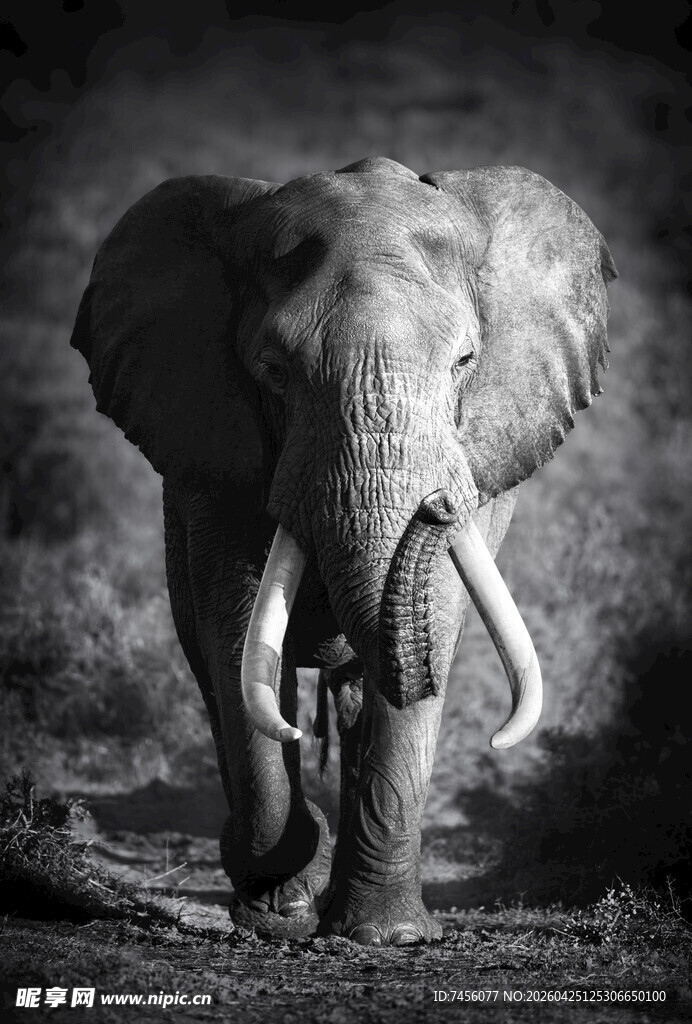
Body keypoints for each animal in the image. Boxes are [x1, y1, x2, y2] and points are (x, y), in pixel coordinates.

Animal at [70, 156, 616, 946]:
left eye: (466, 362)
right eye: (273, 370)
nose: (438, 505)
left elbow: (434, 623)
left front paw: (387, 937)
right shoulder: (214, 460)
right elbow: (235, 634)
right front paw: (279, 910)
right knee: (214, 669)